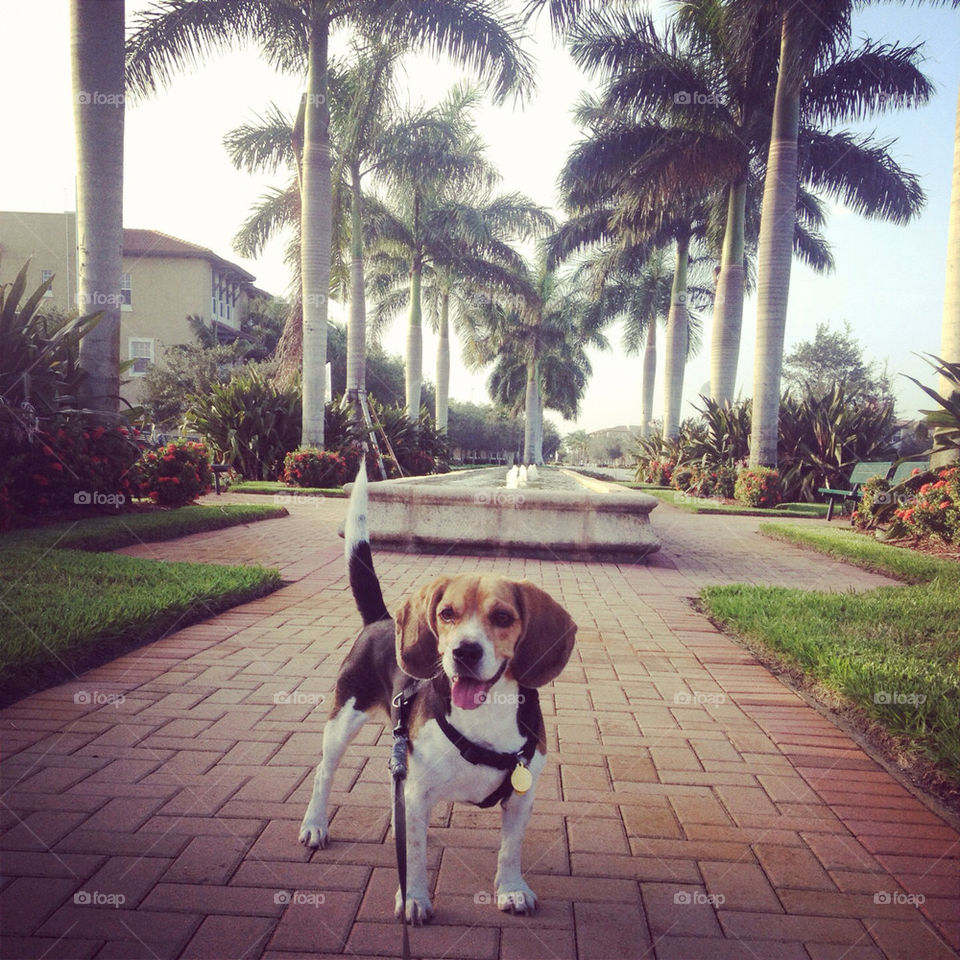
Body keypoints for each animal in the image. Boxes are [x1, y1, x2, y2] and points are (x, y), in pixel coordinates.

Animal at [296, 464, 576, 924]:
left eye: (503, 617)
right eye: (447, 614)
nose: (464, 652)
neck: (485, 717)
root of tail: (381, 619)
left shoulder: (521, 797)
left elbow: (510, 850)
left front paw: (511, 890)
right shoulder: (418, 794)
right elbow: (414, 853)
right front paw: (413, 898)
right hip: (342, 721)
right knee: (324, 773)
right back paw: (314, 825)